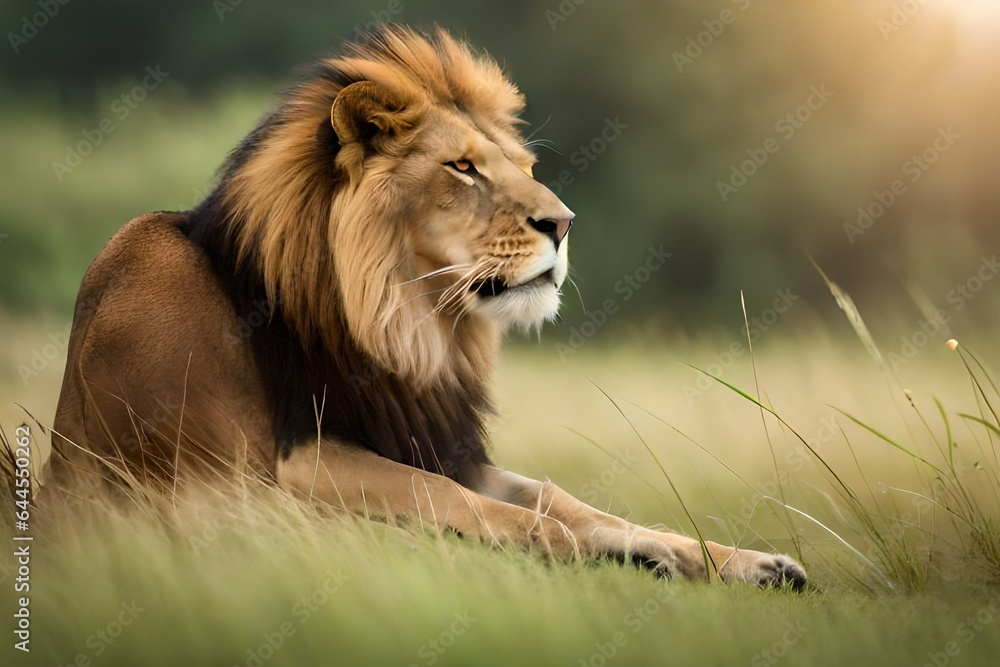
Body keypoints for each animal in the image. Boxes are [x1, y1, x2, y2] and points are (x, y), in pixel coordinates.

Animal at [45, 25, 805, 589]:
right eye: (462, 168)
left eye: (522, 168)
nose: (562, 223)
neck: (405, 322)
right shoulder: (238, 482)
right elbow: (445, 498)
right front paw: (571, 548)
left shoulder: (433, 439)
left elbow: (554, 495)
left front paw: (724, 558)